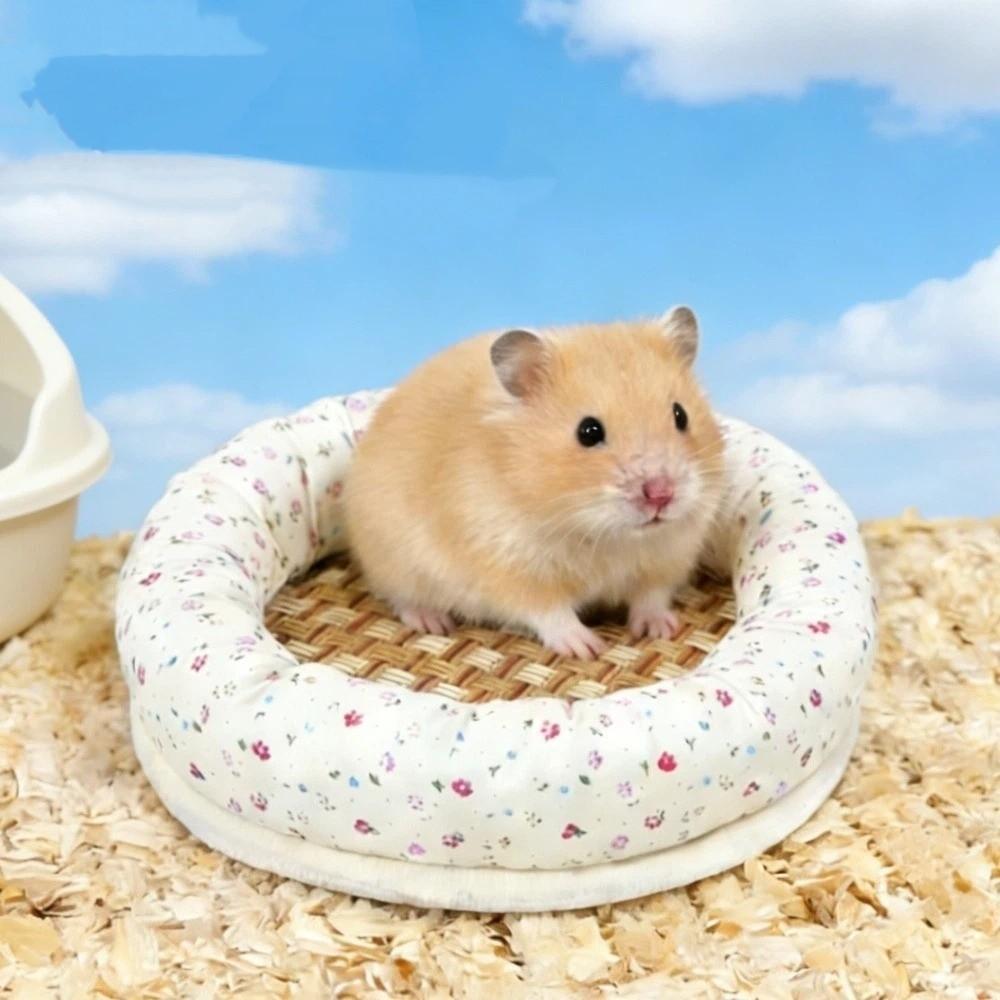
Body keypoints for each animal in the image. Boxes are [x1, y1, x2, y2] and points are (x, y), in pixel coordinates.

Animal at [342, 307, 725, 660]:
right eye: (588, 431)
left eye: (680, 415)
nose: (661, 495)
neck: (606, 535)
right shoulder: (511, 567)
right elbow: (549, 612)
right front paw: (588, 648)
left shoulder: (667, 559)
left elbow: (651, 596)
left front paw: (660, 629)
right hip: (395, 563)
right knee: (401, 598)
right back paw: (433, 622)